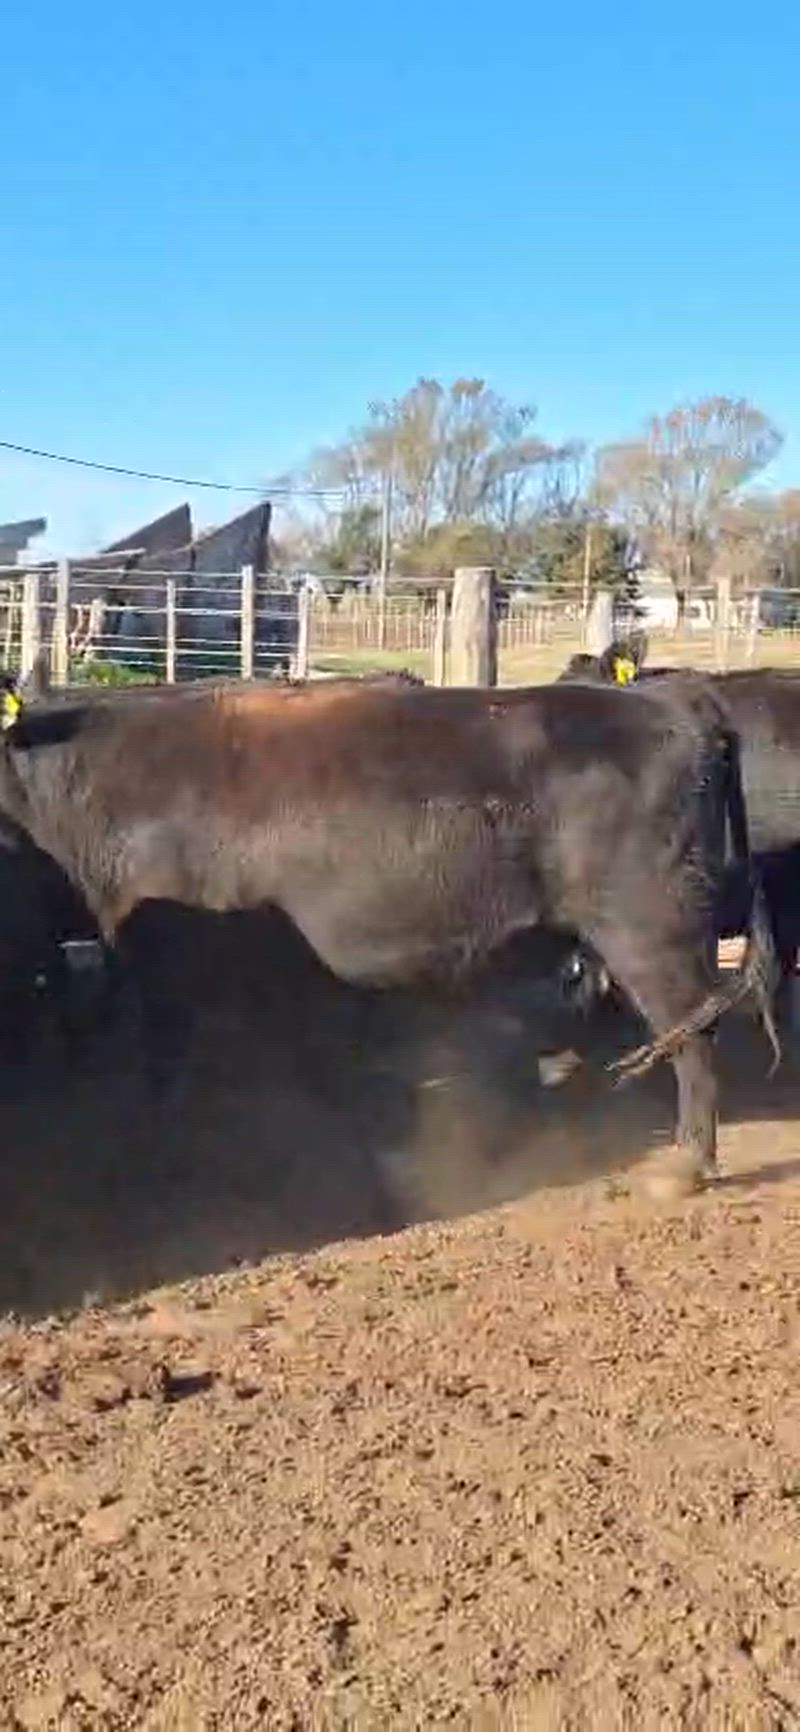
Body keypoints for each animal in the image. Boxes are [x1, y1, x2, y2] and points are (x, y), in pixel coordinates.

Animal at [0, 674, 776, 1184]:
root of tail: (673, 701)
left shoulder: (167, 966)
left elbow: (165, 1065)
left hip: (652, 934)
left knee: (693, 1036)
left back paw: (689, 1163)